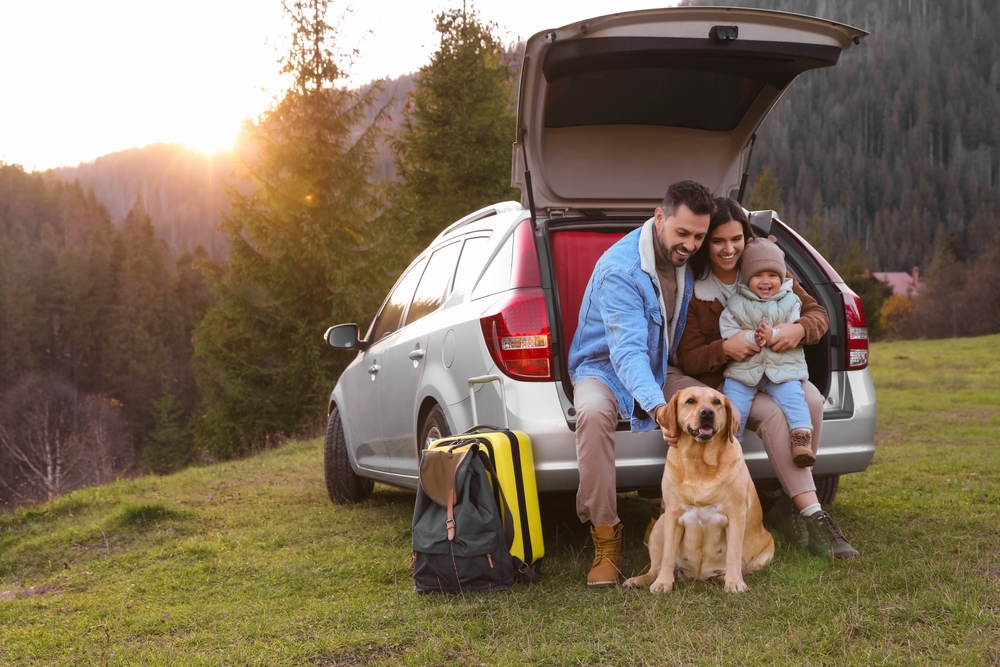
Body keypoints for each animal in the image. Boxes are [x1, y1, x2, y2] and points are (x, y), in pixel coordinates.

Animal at [624, 386, 772, 596]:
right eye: (690, 401)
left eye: (717, 402)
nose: (707, 413)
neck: (699, 463)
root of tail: (698, 576)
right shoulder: (672, 515)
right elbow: (668, 555)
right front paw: (663, 583)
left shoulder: (736, 515)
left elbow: (734, 553)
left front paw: (734, 582)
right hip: (660, 524)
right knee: (655, 568)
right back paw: (639, 580)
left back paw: (722, 577)